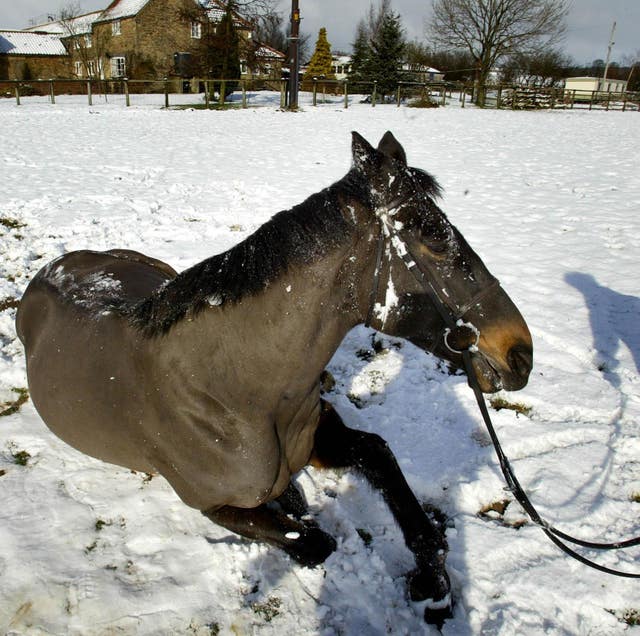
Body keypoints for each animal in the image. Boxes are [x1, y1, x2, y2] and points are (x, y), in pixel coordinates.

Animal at [16, 130, 536, 628]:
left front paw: (433, 584)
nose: (521, 354)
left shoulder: (324, 437)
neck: (232, 390)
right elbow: (313, 540)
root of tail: (54, 268)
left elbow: (383, 461)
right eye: (431, 236)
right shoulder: (214, 504)